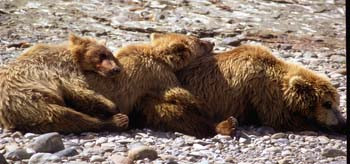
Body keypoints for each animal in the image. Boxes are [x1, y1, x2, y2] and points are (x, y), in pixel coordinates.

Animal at [0, 34, 129, 134]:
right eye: (102, 55)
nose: (116, 69)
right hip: (30, 100)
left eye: (111, 55)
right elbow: (79, 90)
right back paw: (117, 120)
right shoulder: (63, 69)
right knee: (66, 116)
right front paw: (112, 106)